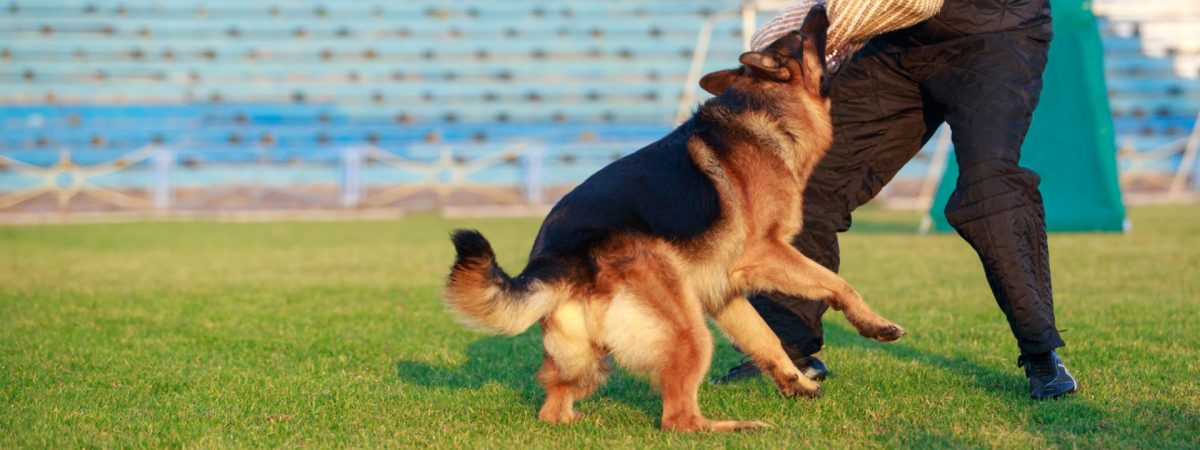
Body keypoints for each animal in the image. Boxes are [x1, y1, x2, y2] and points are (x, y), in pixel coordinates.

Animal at [446, 5, 902, 432]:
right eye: (802, 36)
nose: (820, 8)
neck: (766, 112)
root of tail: (555, 258)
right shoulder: (766, 253)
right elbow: (836, 284)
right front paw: (875, 324)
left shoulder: (724, 292)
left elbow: (766, 337)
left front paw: (796, 382)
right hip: (689, 331)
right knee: (678, 419)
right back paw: (737, 427)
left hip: (587, 356)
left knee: (553, 407)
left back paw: (580, 420)